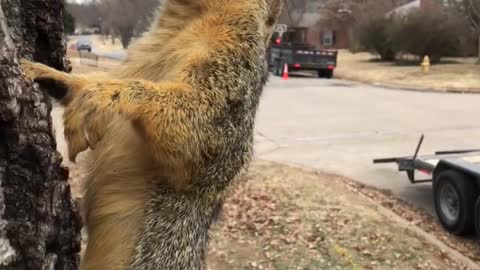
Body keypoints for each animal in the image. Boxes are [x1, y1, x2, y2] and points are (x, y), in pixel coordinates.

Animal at [22, 0, 284, 268]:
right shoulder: (136, 60)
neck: (189, 20)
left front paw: (103, 94)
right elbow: (96, 79)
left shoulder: (233, 73)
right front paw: (46, 72)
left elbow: (199, 126)